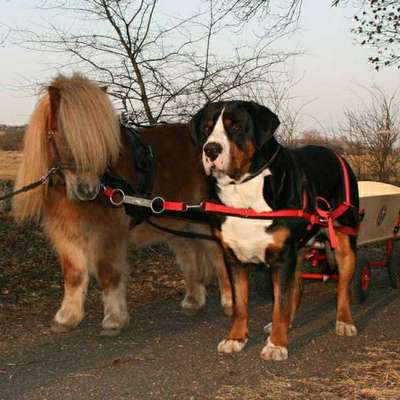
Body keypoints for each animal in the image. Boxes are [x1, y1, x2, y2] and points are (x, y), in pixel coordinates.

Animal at [13, 73, 231, 336]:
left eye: (99, 143)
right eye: (64, 138)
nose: (89, 190)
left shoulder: (107, 232)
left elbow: (108, 273)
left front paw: (114, 319)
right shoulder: (65, 233)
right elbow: (73, 274)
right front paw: (67, 318)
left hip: (205, 223)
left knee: (219, 257)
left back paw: (230, 303)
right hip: (180, 223)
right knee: (188, 256)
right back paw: (193, 301)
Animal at [190, 100, 360, 360]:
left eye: (236, 127)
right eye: (206, 128)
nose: (211, 150)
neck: (244, 194)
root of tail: (335, 153)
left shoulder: (283, 258)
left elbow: (280, 304)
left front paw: (277, 345)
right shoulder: (234, 258)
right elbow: (242, 304)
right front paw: (236, 338)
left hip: (344, 244)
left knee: (342, 287)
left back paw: (344, 322)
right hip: (299, 249)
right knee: (297, 289)